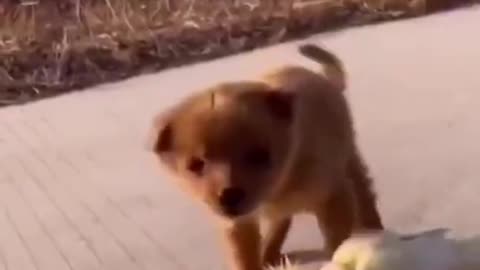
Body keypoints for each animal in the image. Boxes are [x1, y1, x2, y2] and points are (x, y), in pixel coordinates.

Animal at [149, 43, 382, 268]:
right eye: (196, 165)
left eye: (259, 155)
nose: (229, 196)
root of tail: (323, 79)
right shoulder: (238, 225)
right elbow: (244, 258)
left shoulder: (334, 196)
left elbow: (337, 242)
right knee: (281, 220)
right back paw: (269, 252)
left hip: (349, 158)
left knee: (364, 191)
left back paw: (375, 228)